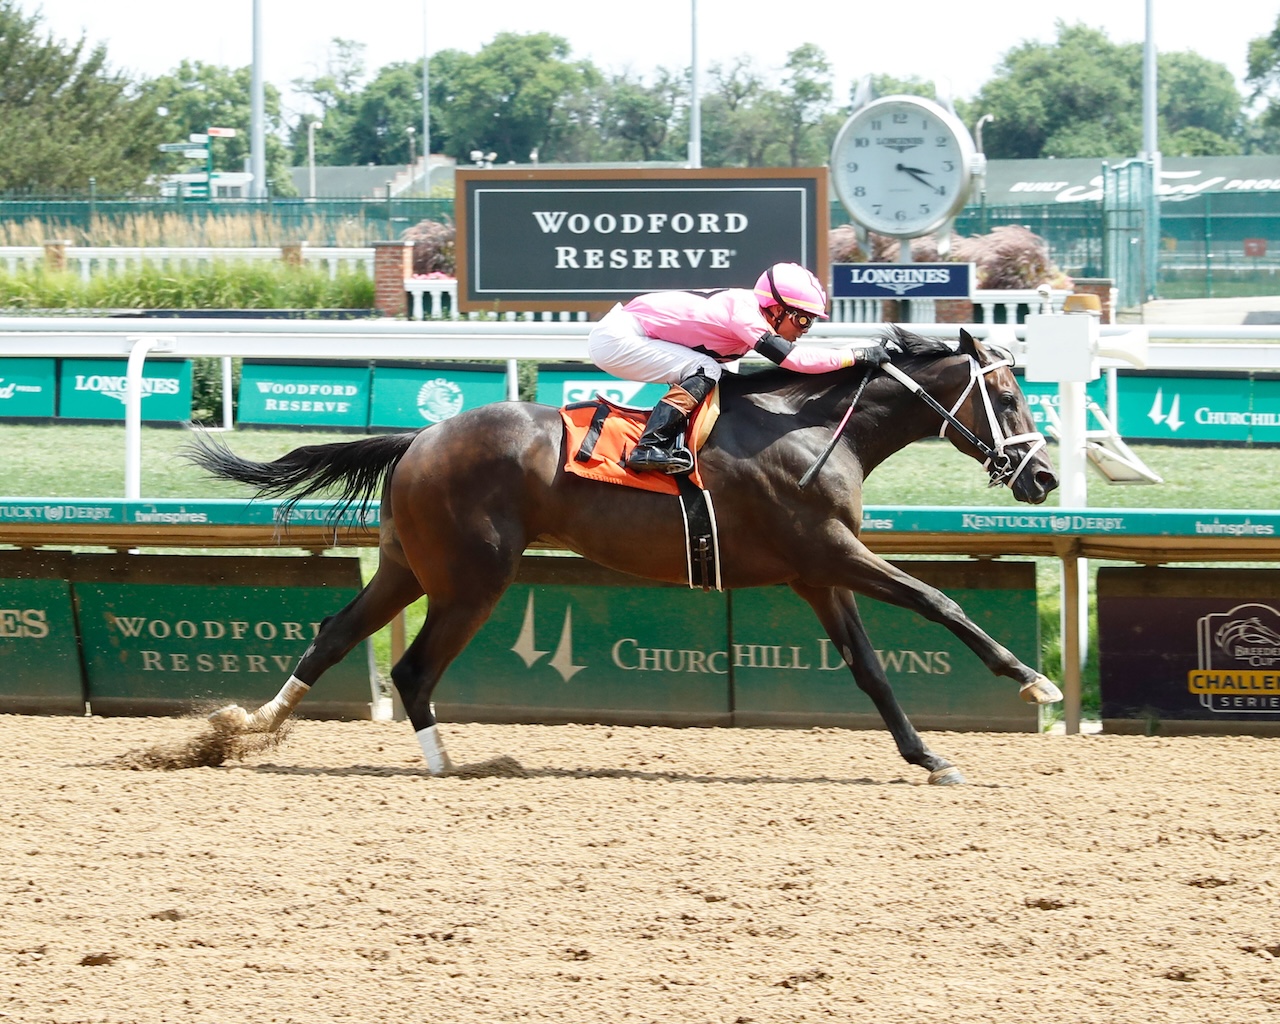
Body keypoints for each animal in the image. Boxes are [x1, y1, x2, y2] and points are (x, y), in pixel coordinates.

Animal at [186, 327, 1059, 783]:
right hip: (473, 578)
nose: (1043, 477)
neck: (813, 427)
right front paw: (1033, 681)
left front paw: (927, 755)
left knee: (336, 633)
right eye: (1010, 395)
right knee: (413, 668)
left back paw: (242, 728)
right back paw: (441, 763)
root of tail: (420, 437)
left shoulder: (817, 573)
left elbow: (871, 669)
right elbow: (937, 600)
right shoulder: (832, 551)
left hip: (410, 565)